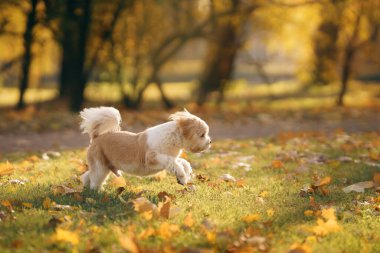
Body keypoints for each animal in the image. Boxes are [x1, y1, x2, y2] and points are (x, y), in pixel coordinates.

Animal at [79, 106, 211, 190]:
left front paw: (184, 175)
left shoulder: (172, 157)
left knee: (87, 176)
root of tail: (96, 138)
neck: (171, 137)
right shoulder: (153, 158)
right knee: (95, 180)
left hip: (104, 167)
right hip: (100, 167)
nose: (209, 141)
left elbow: (183, 162)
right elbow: (173, 163)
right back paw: (96, 193)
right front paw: (182, 176)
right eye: (202, 135)